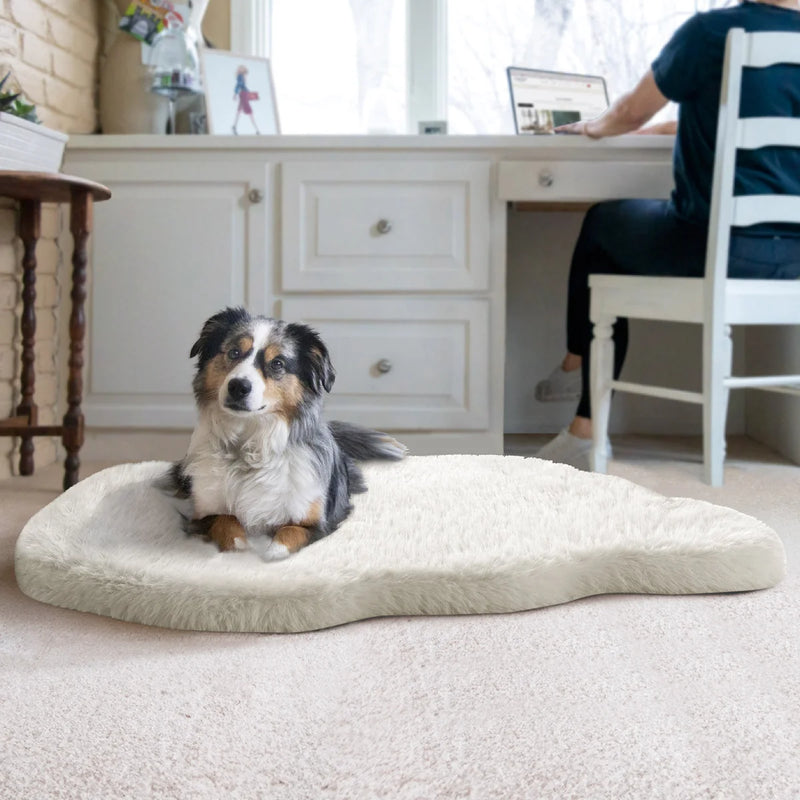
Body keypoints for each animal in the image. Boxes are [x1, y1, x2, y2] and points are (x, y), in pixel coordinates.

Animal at [162, 306, 406, 564]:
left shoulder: (319, 519)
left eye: (277, 363)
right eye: (234, 352)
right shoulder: (202, 512)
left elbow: (290, 531)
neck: (249, 445)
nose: (238, 386)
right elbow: (226, 521)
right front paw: (241, 546)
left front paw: (271, 552)